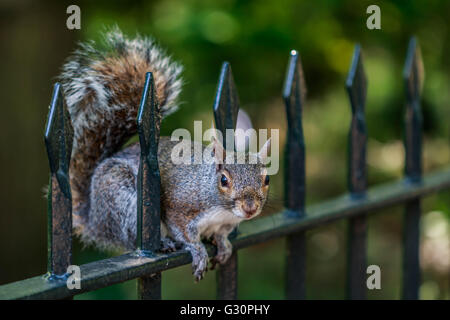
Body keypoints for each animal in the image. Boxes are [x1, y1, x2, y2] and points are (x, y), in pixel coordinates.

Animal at [59, 28, 270, 282]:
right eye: (223, 180)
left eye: (267, 179)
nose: (250, 208)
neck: (221, 210)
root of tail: (94, 218)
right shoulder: (180, 206)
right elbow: (185, 234)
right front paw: (198, 251)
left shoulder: (226, 223)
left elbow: (221, 235)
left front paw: (224, 244)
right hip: (122, 200)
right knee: (131, 239)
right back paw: (162, 242)